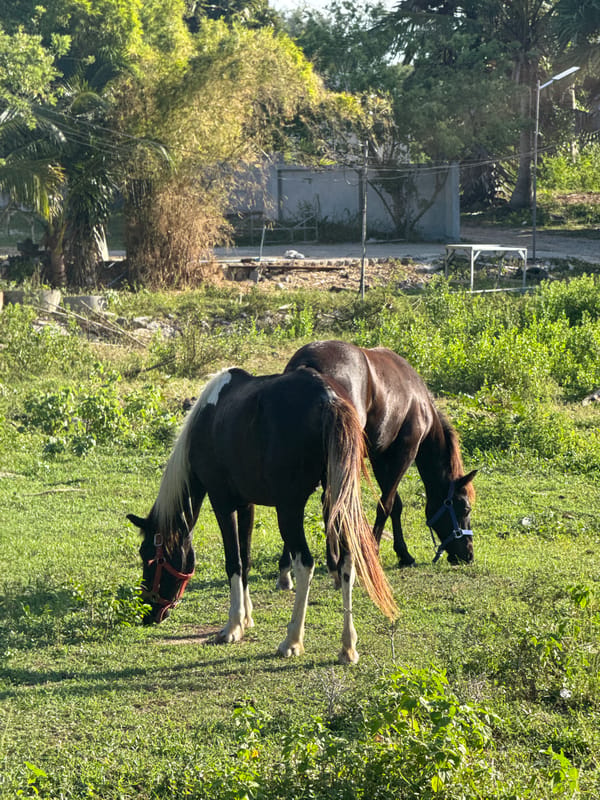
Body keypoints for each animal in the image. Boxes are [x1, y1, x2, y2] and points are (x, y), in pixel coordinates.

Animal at [127, 366, 397, 664]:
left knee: (305, 564)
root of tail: (328, 397)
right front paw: (246, 618)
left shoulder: (222, 503)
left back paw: (292, 640)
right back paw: (348, 646)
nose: (147, 614)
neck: (207, 419)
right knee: (348, 562)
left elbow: (233, 562)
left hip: (289, 509)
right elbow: (246, 560)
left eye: (149, 557)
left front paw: (233, 626)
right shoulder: (247, 505)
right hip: (338, 501)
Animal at [276, 340, 476, 589]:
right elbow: (386, 504)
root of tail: (307, 365)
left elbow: (396, 504)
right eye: (465, 508)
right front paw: (373, 550)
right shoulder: (405, 452)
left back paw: (290, 568)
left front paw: (403, 553)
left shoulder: (379, 456)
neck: (419, 402)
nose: (469, 554)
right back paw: (336, 562)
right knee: (331, 502)